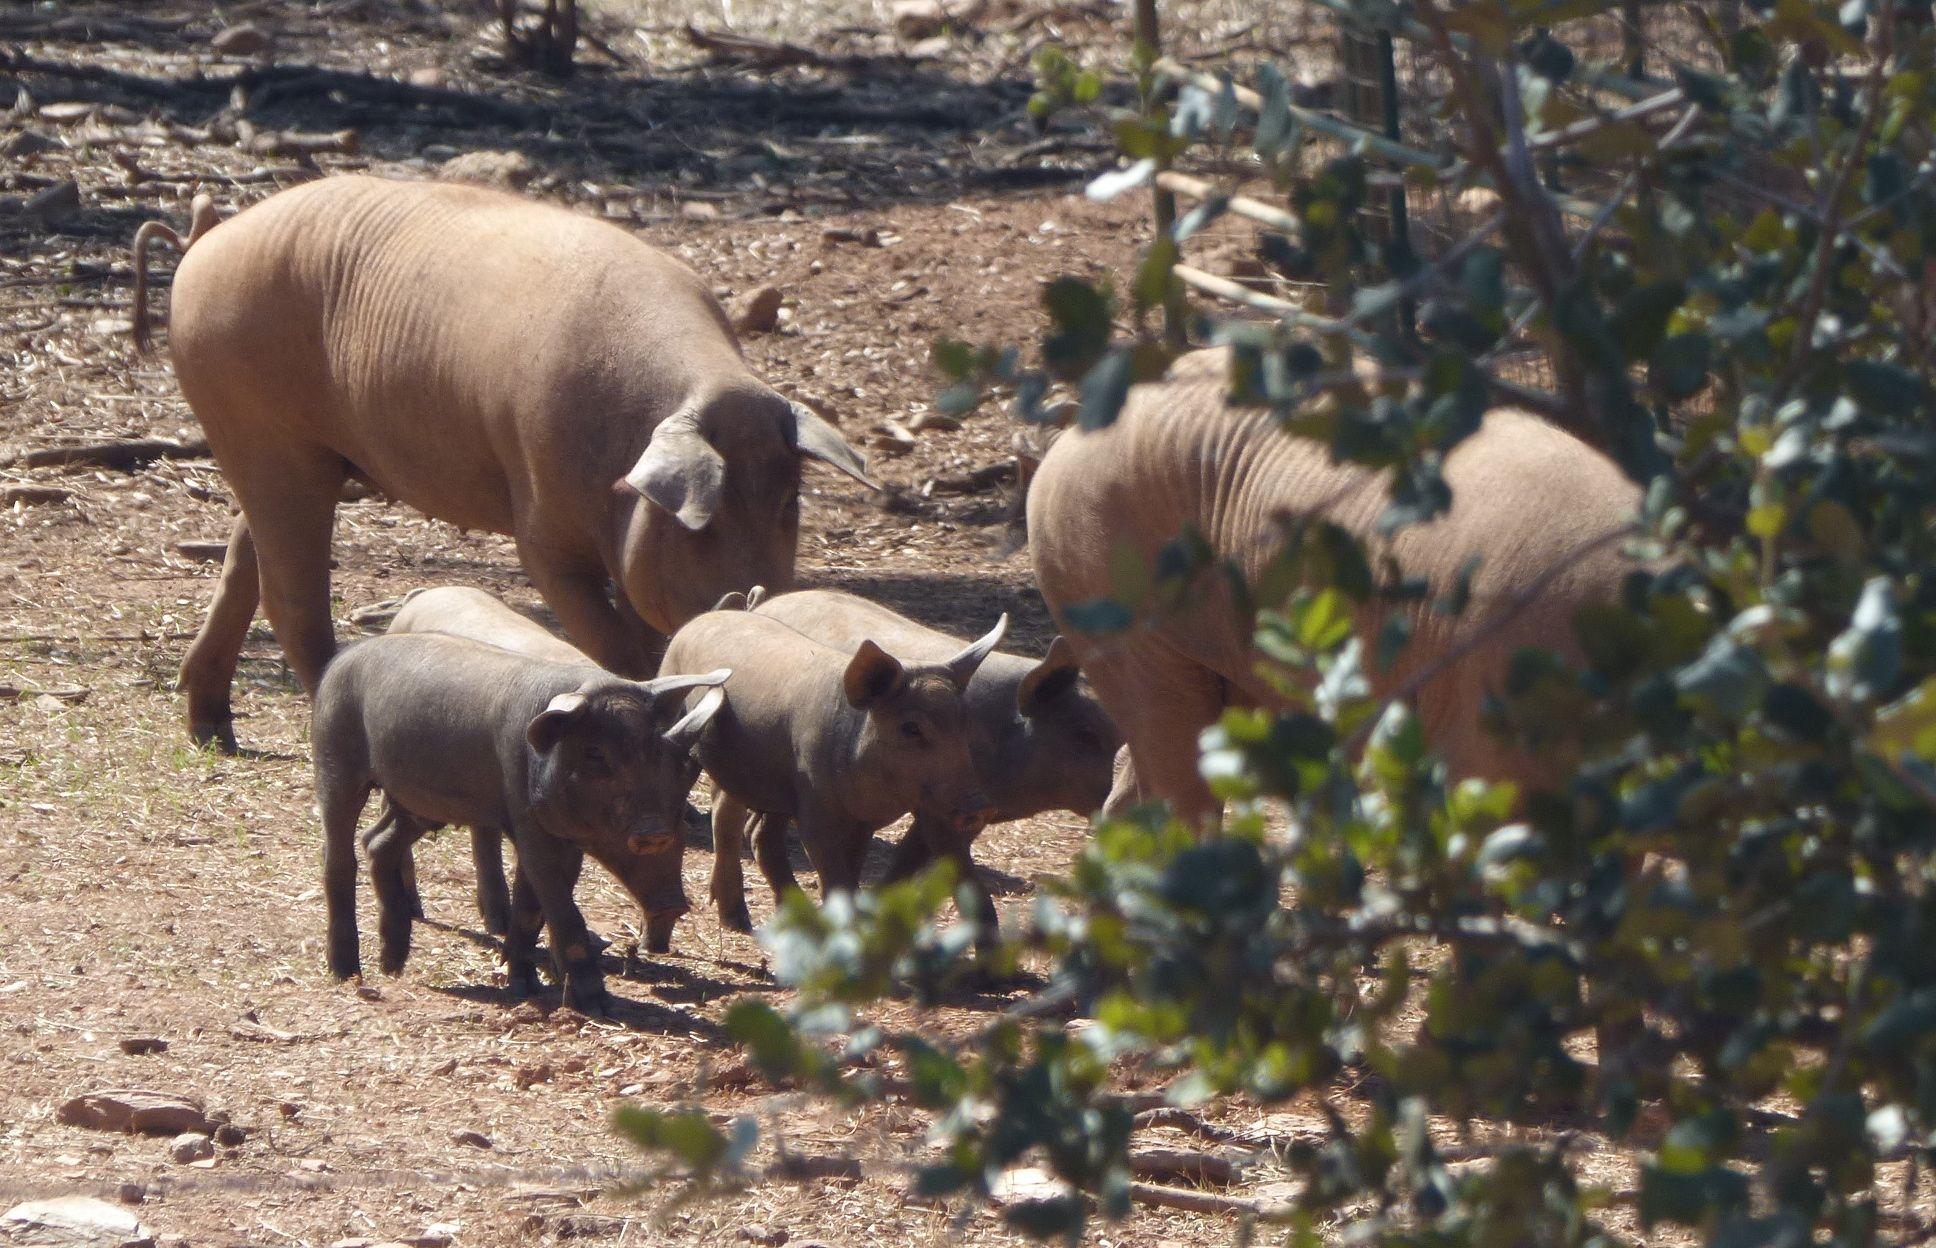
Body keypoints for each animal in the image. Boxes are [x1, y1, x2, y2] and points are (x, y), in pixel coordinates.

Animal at [131, 175, 870, 751]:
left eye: (789, 502)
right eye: (703, 523)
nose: (752, 598)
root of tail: (206, 241)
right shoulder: (540, 530)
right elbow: (617, 643)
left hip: (287, 454)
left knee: (242, 559)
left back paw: (213, 733)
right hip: (267, 437)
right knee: (290, 593)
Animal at [311, 631, 728, 1013]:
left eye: (659, 752)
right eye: (595, 752)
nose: (654, 831)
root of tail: (340, 659)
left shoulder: (561, 834)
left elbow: (531, 907)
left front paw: (524, 987)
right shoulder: (527, 820)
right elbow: (560, 907)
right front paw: (597, 1005)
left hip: (419, 803)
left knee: (378, 840)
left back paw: (393, 966)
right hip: (334, 757)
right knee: (339, 853)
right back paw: (346, 972)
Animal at [656, 609, 1006, 923]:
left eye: (964, 721)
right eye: (911, 728)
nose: (982, 805)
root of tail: (697, 621)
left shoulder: (883, 815)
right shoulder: (815, 804)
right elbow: (834, 875)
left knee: (756, 832)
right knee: (730, 821)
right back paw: (739, 921)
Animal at [717, 588, 1121, 938]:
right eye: (1086, 734)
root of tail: (764, 603)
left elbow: (910, 861)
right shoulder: (941, 806)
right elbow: (959, 872)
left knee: (760, 831)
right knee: (730, 815)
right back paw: (739, 921)